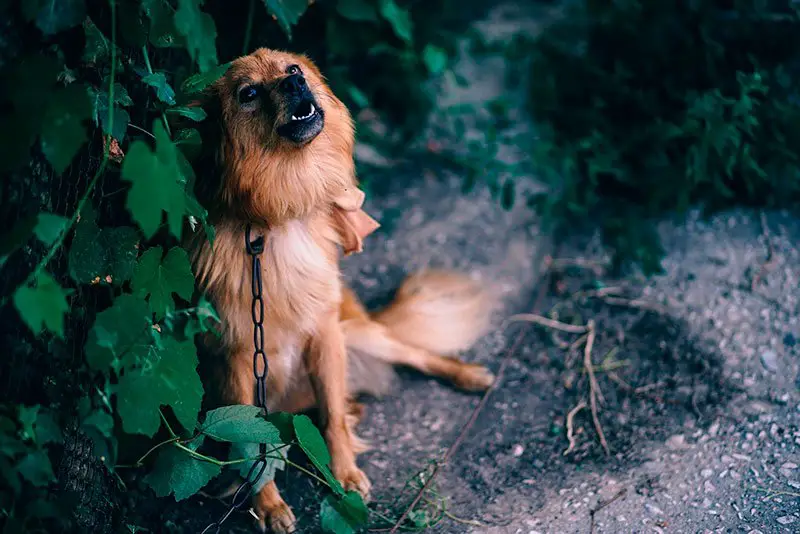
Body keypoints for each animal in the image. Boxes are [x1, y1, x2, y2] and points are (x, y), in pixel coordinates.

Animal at [188, 48, 496, 532]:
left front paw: (345, 475)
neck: (276, 218)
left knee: (413, 352)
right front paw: (268, 505)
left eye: (292, 70)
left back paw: (466, 375)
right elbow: (250, 442)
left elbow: (332, 416)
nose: (295, 85)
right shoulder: (237, 356)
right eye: (248, 93)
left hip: (357, 333)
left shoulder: (325, 334)